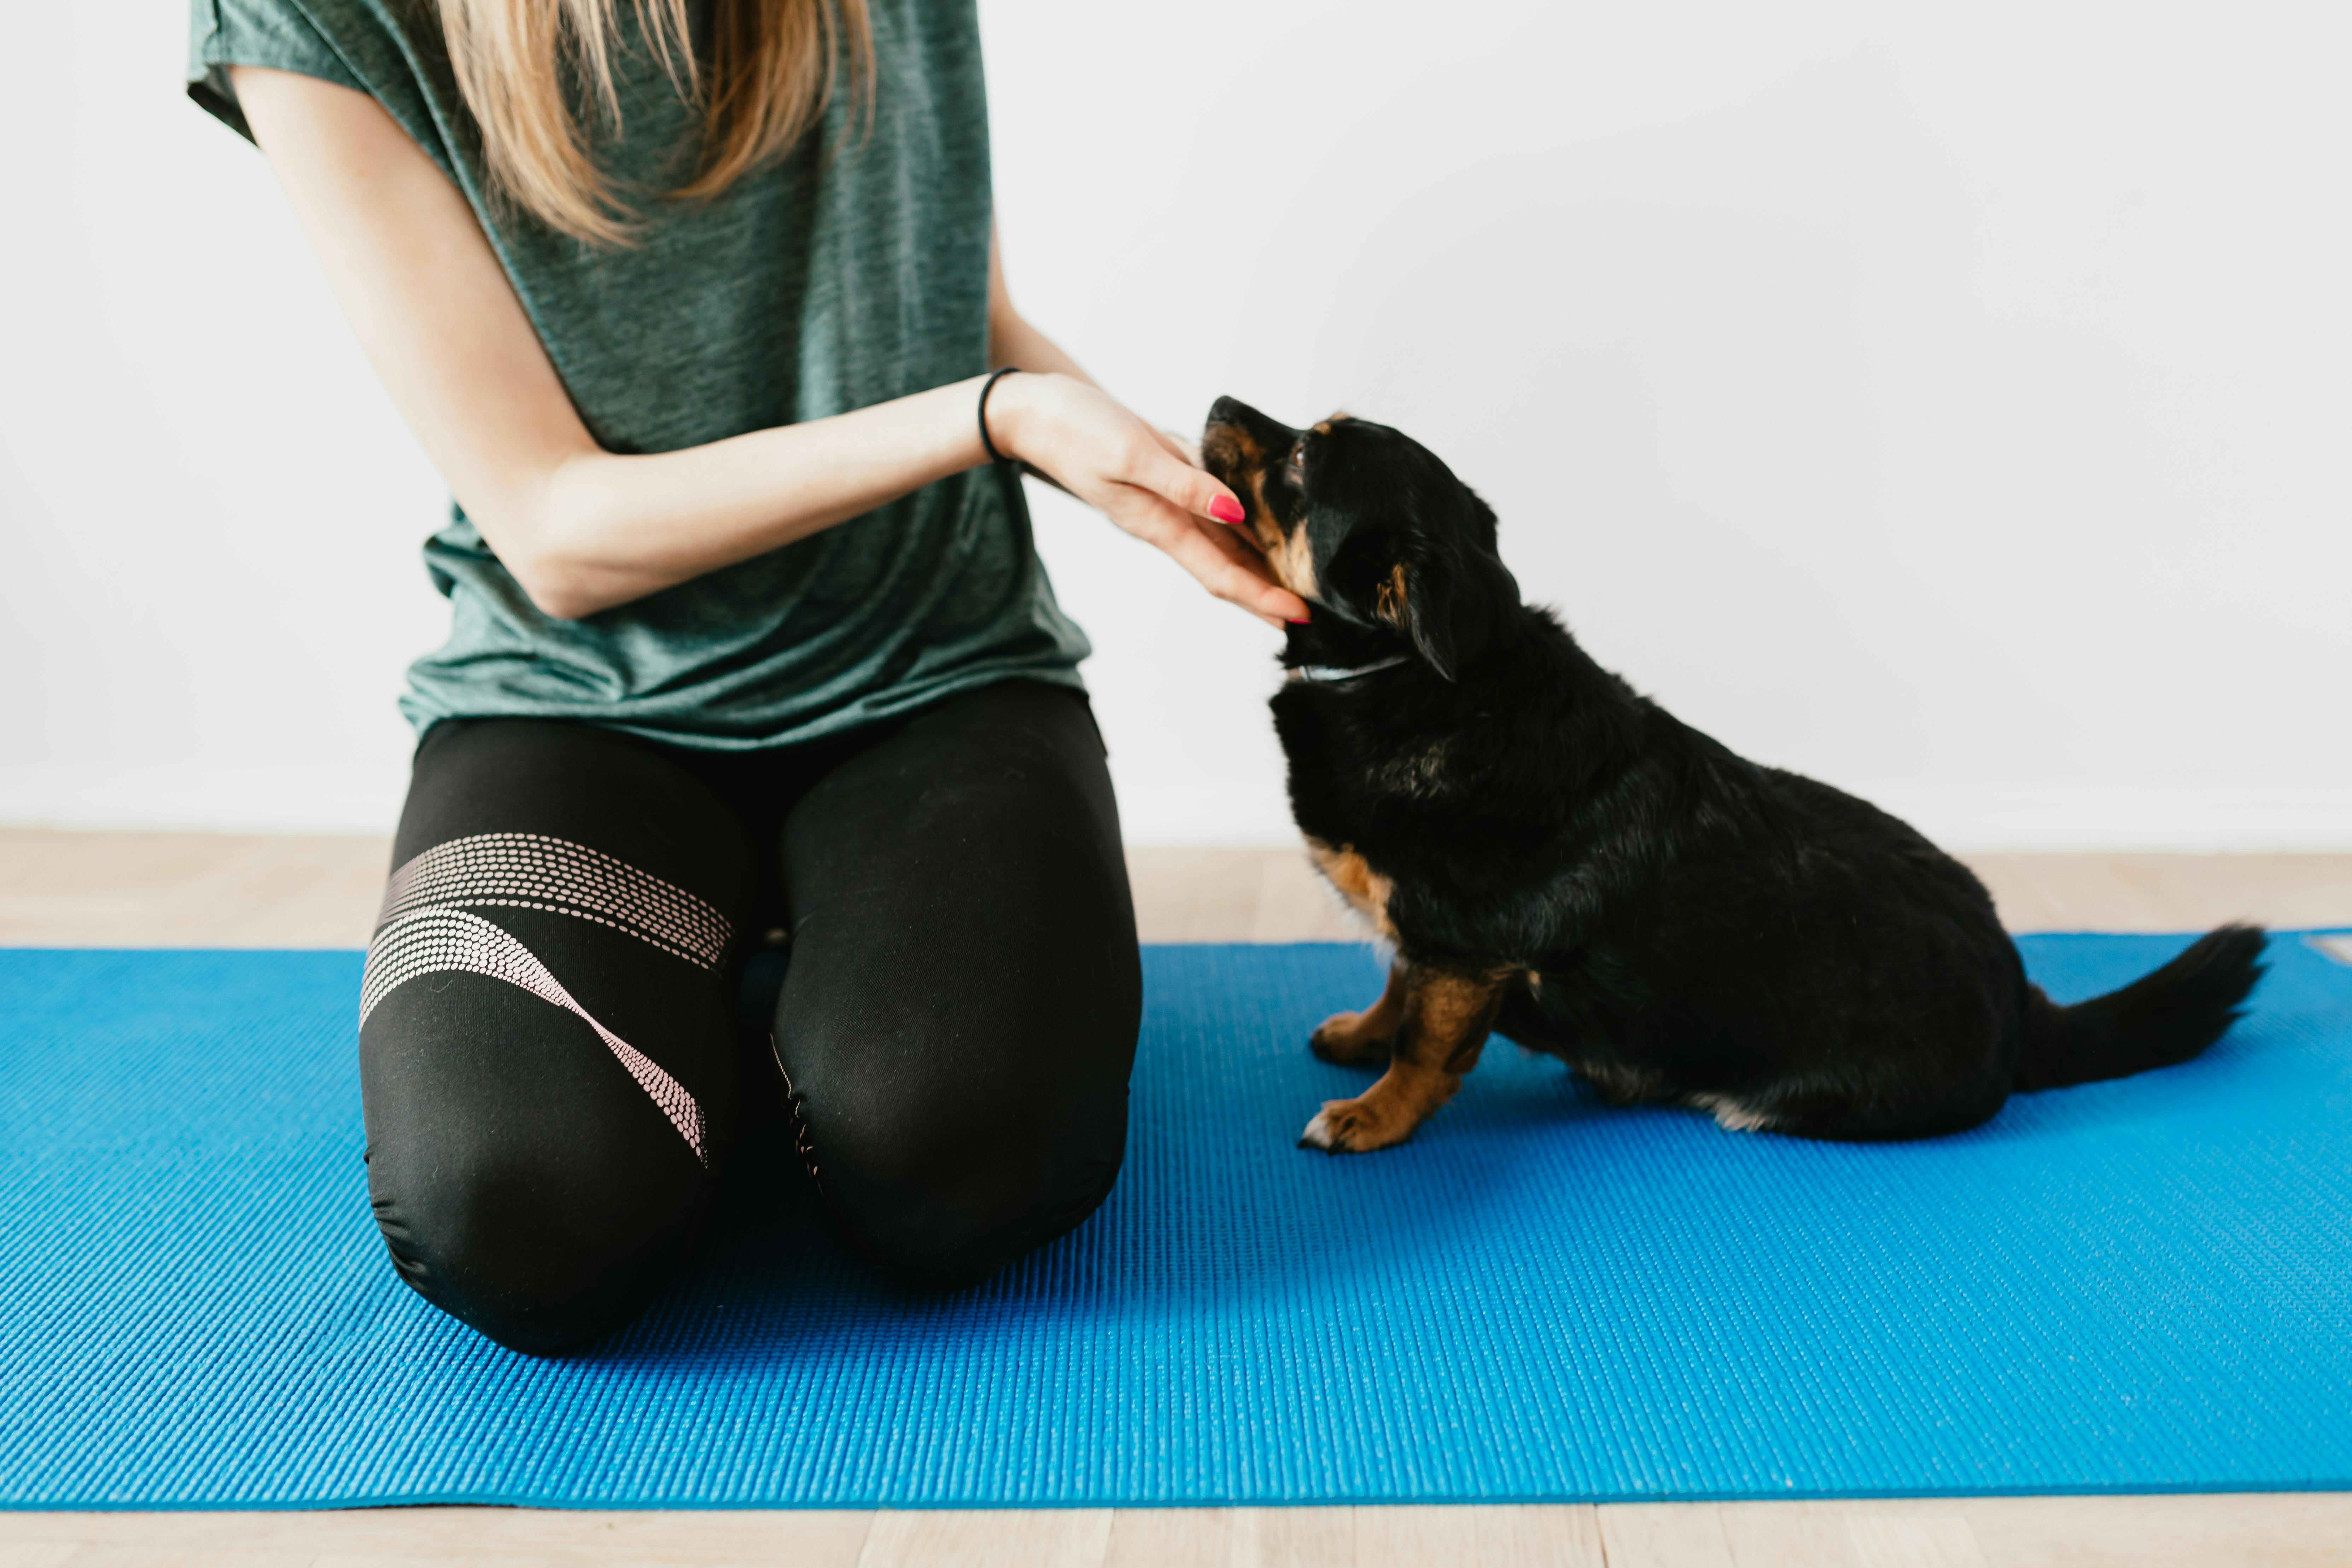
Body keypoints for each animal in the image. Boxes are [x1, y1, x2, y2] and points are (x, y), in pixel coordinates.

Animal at [1204, 395, 2267, 1152]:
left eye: (1302, 459)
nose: (1216, 399)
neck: (1403, 672)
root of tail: (2021, 997)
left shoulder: (1464, 951)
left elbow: (1425, 1043)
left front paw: (1372, 1112)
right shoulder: (1423, 933)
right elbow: (1393, 982)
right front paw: (1359, 1033)